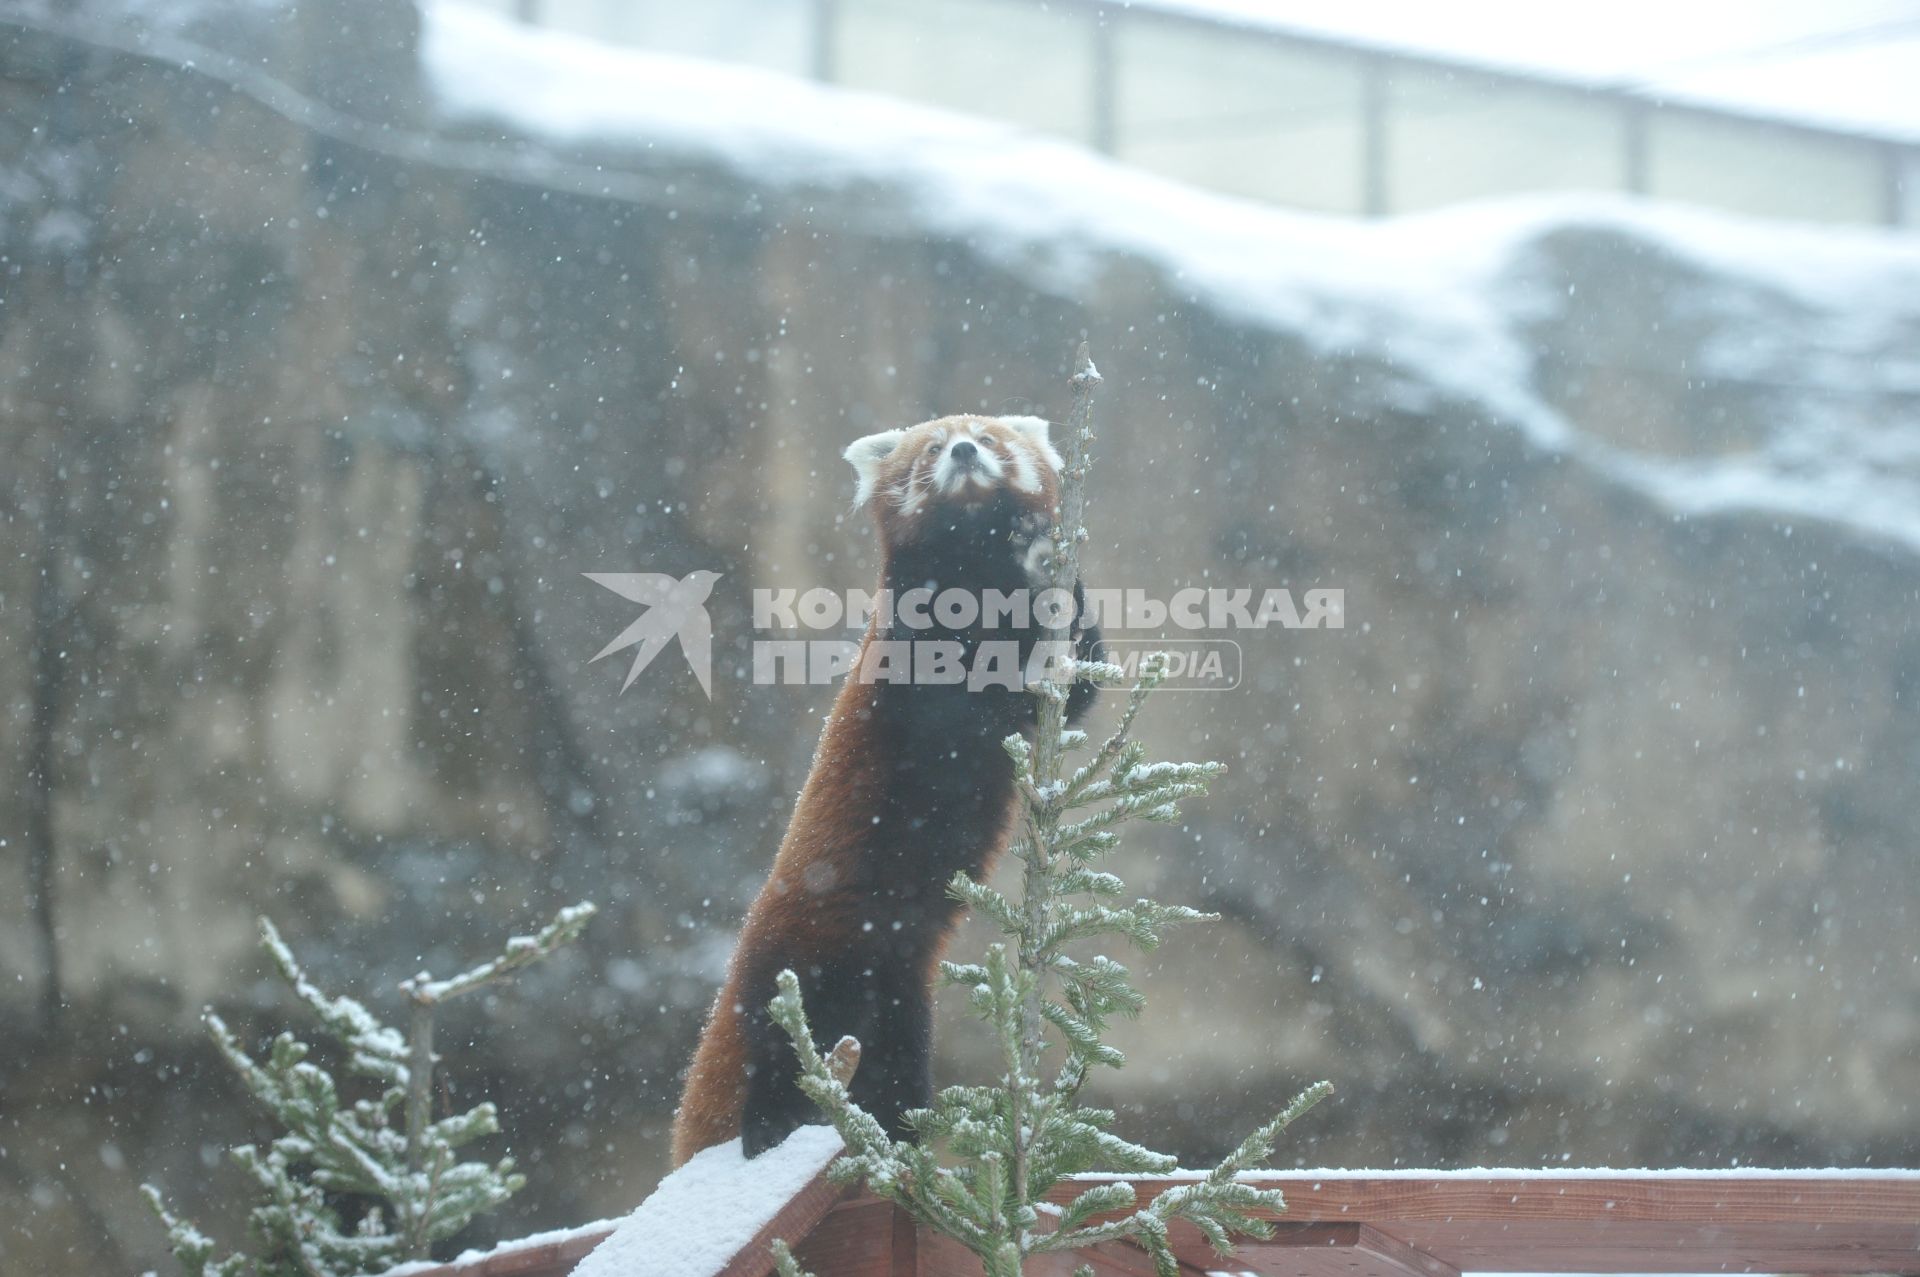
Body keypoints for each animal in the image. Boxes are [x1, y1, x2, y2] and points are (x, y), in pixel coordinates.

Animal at [672, 412, 1098, 1159]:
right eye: (933, 449)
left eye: (990, 439)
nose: (964, 451)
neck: (976, 573)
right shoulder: (909, 657)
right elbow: (960, 710)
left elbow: (1079, 685)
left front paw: (1043, 563)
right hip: (804, 961)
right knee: (780, 1049)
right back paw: (770, 1129)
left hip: (899, 1000)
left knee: (892, 1069)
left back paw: (898, 1138)